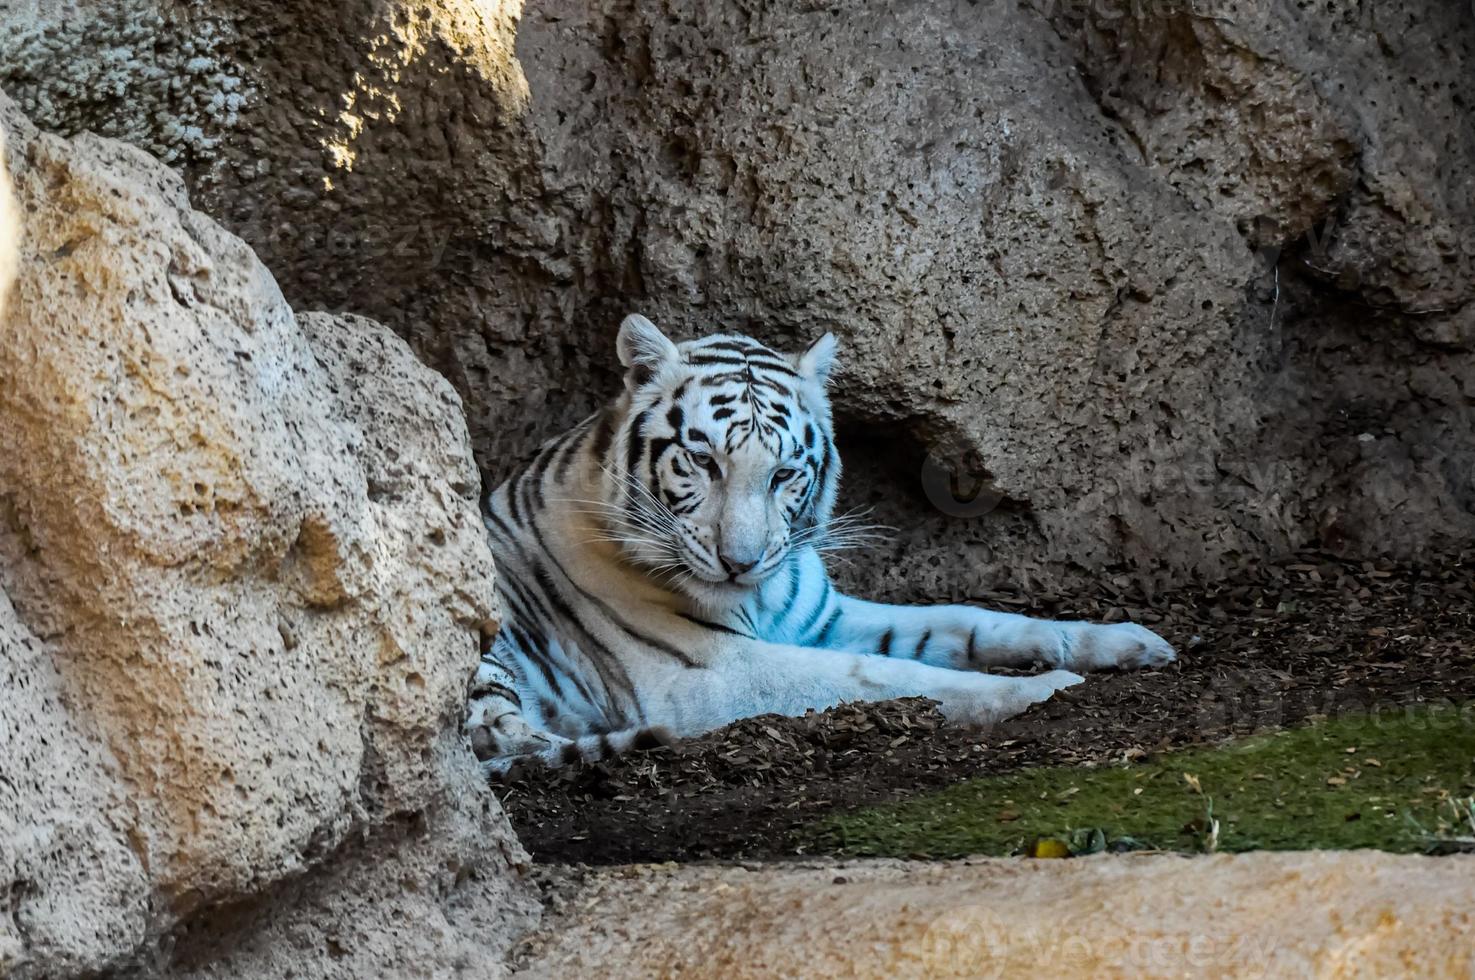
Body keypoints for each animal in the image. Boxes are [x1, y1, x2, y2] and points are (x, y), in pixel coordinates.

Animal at [466, 314, 1180, 773]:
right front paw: (1048, 687)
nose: (740, 563)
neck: (760, 596)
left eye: (784, 473)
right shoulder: (710, 674)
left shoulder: (821, 616)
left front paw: (1124, 643)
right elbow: (887, 675)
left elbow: (966, 621)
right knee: (500, 747)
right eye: (703, 462)